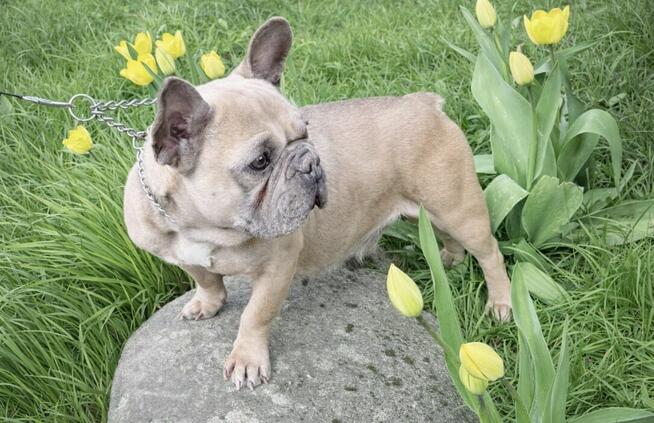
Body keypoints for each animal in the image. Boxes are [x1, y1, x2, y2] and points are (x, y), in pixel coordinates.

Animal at [123, 17, 512, 390]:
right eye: (260, 161)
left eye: (305, 131)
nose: (310, 161)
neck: (204, 229)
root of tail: (425, 103)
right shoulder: (182, 255)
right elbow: (205, 277)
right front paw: (208, 303)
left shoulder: (279, 264)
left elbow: (255, 314)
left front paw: (247, 358)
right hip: (431, 209)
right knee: (446, 236)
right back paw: (447, 260)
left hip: (458, 207)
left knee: (490, 253)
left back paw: (501, 303)